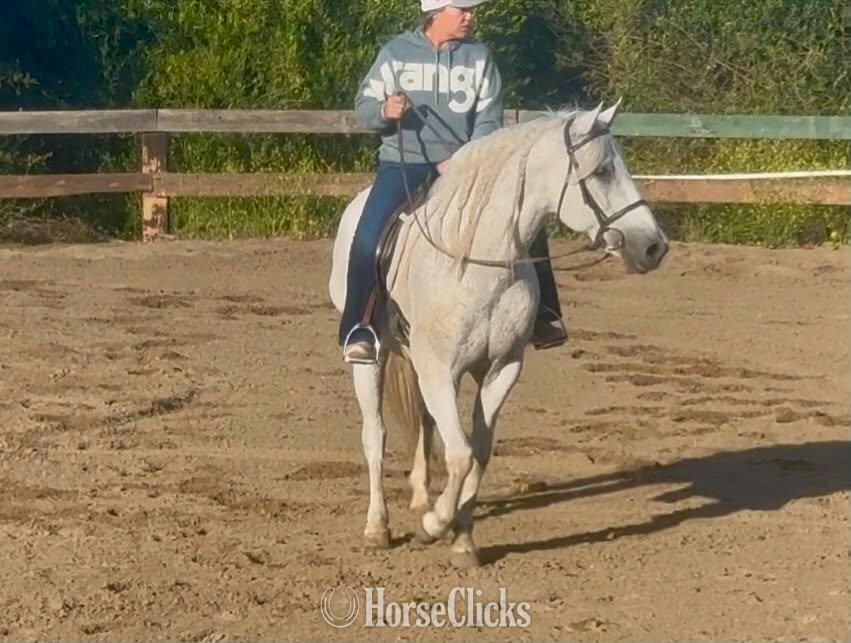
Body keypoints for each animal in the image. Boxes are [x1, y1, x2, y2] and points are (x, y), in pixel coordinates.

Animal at [328, 101, 669, 568]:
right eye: (601, 171)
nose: (654, 246)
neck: (476, 259)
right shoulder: (440, 372)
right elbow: (460, 453)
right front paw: (435, 525)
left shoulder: (501, 369)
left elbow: (480, 453)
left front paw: (462, 539)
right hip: (372, 359)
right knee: (374, 434)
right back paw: (378, 527)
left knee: (424, 423)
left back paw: (421, 496)